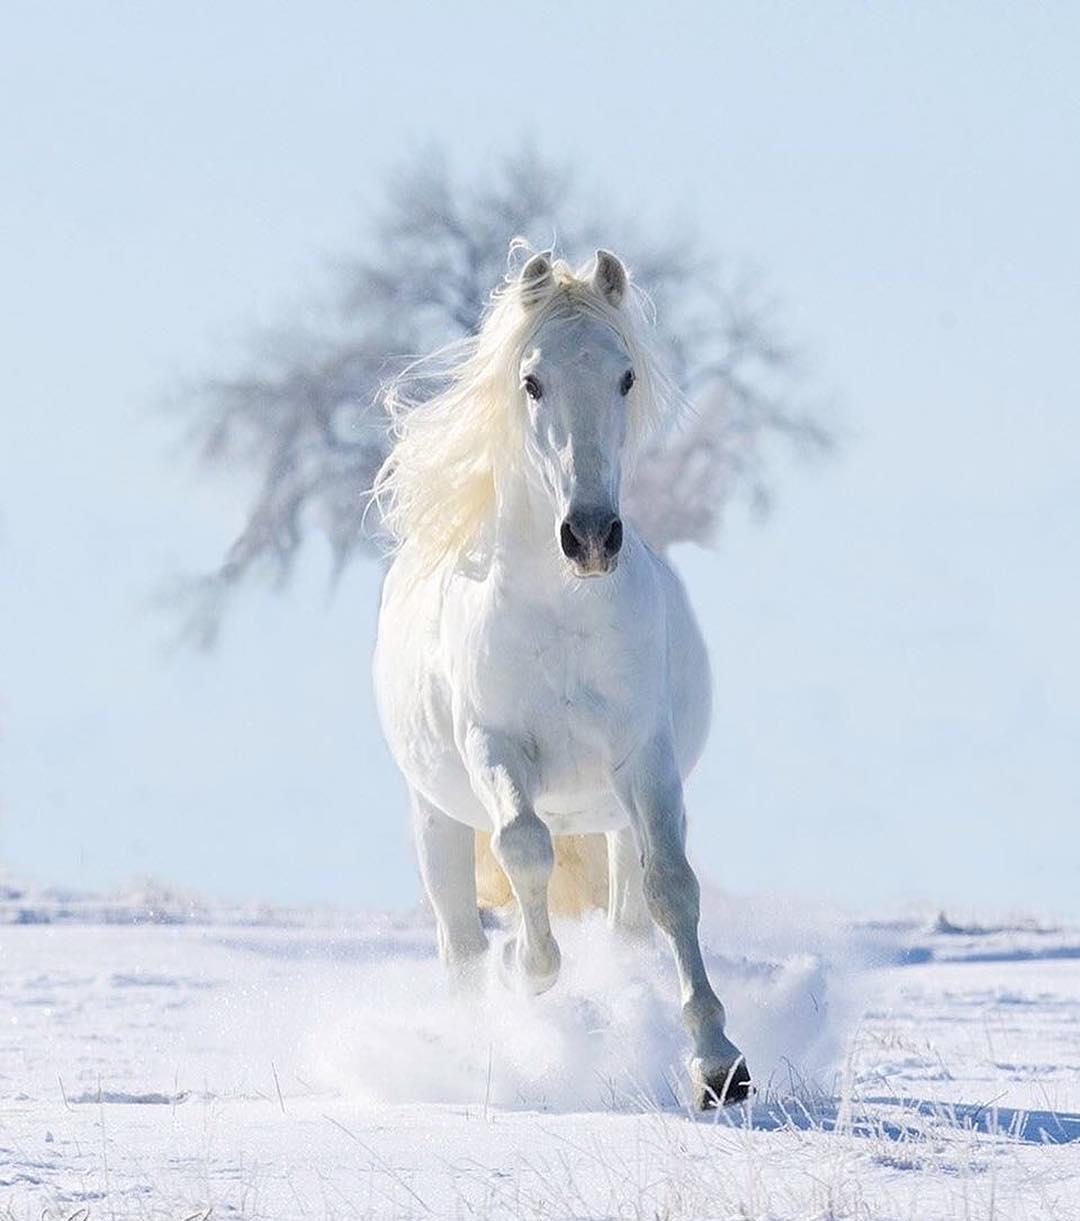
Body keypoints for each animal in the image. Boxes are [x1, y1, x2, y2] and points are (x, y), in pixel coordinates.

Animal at [373, 247, 751, 1108]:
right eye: (532, 380)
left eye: (625, 376)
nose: (590, 535)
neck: (563, 609)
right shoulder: (494, 745)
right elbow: (524, 849)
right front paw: (532, 970)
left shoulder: (645, 758)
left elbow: (673, 887)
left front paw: (719, 1061)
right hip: (435, 816)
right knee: (460, 941)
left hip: (612, 816)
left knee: (626, 919)